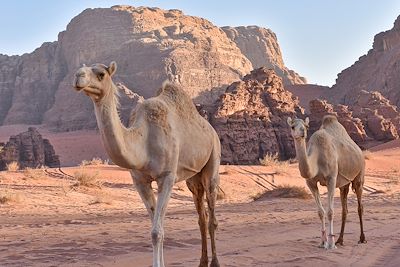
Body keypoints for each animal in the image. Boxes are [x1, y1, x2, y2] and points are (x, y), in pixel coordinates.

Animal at [73, 61, 220, 266]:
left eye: (101, 74)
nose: (78, 76)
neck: (143, 142)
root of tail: (211, 130)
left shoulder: (167, 177)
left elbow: (157, 231)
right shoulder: (140, 181)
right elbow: (156, 228)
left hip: (213, 159)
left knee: (212, 215)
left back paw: (215, 262)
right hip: (193, 177)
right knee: (201, 215)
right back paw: (202, 262)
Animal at [288, 116, 366, 250]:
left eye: (306, 126)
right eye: (292, 126)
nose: (302, 132)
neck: (316, 158)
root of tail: (360, 151)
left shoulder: (331, 179)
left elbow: (330, 212)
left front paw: (331, 243)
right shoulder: (311, 183)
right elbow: (320, 212)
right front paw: (322, 242)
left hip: (360, 173)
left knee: (359, 206)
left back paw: (362, 239)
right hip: (344, 184)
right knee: (344, 209)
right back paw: (340, 240)